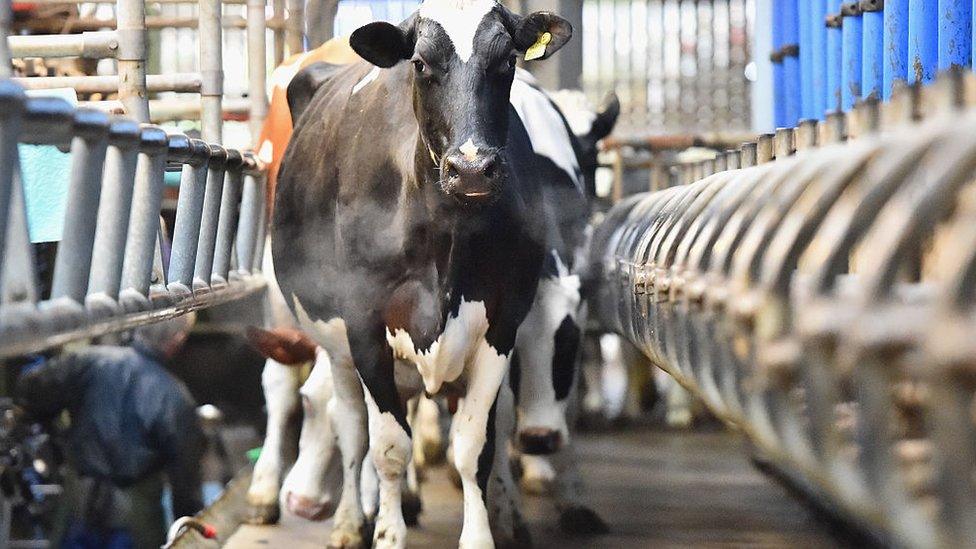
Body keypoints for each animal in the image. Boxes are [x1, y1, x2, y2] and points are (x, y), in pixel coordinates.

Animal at [270, 3, 576, 544]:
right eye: (420, 64)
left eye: (507, 62)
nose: (471, 169)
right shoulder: (366, 329)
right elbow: (389, 447)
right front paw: (387, 534)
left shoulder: (501, 325)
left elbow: (475, 446)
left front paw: (481, 536)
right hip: (336, 346)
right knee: (350, 427)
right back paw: (349, 521)